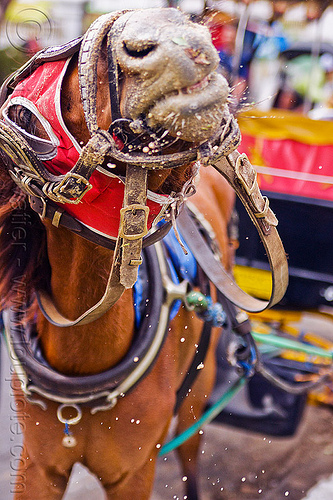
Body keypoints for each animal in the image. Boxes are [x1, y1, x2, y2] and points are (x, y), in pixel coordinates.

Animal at [0, 7, 284, 500]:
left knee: (191, 454)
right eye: (23, 112)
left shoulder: (134, 472)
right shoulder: (38, 465)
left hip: (196, 397)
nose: (173, 31)